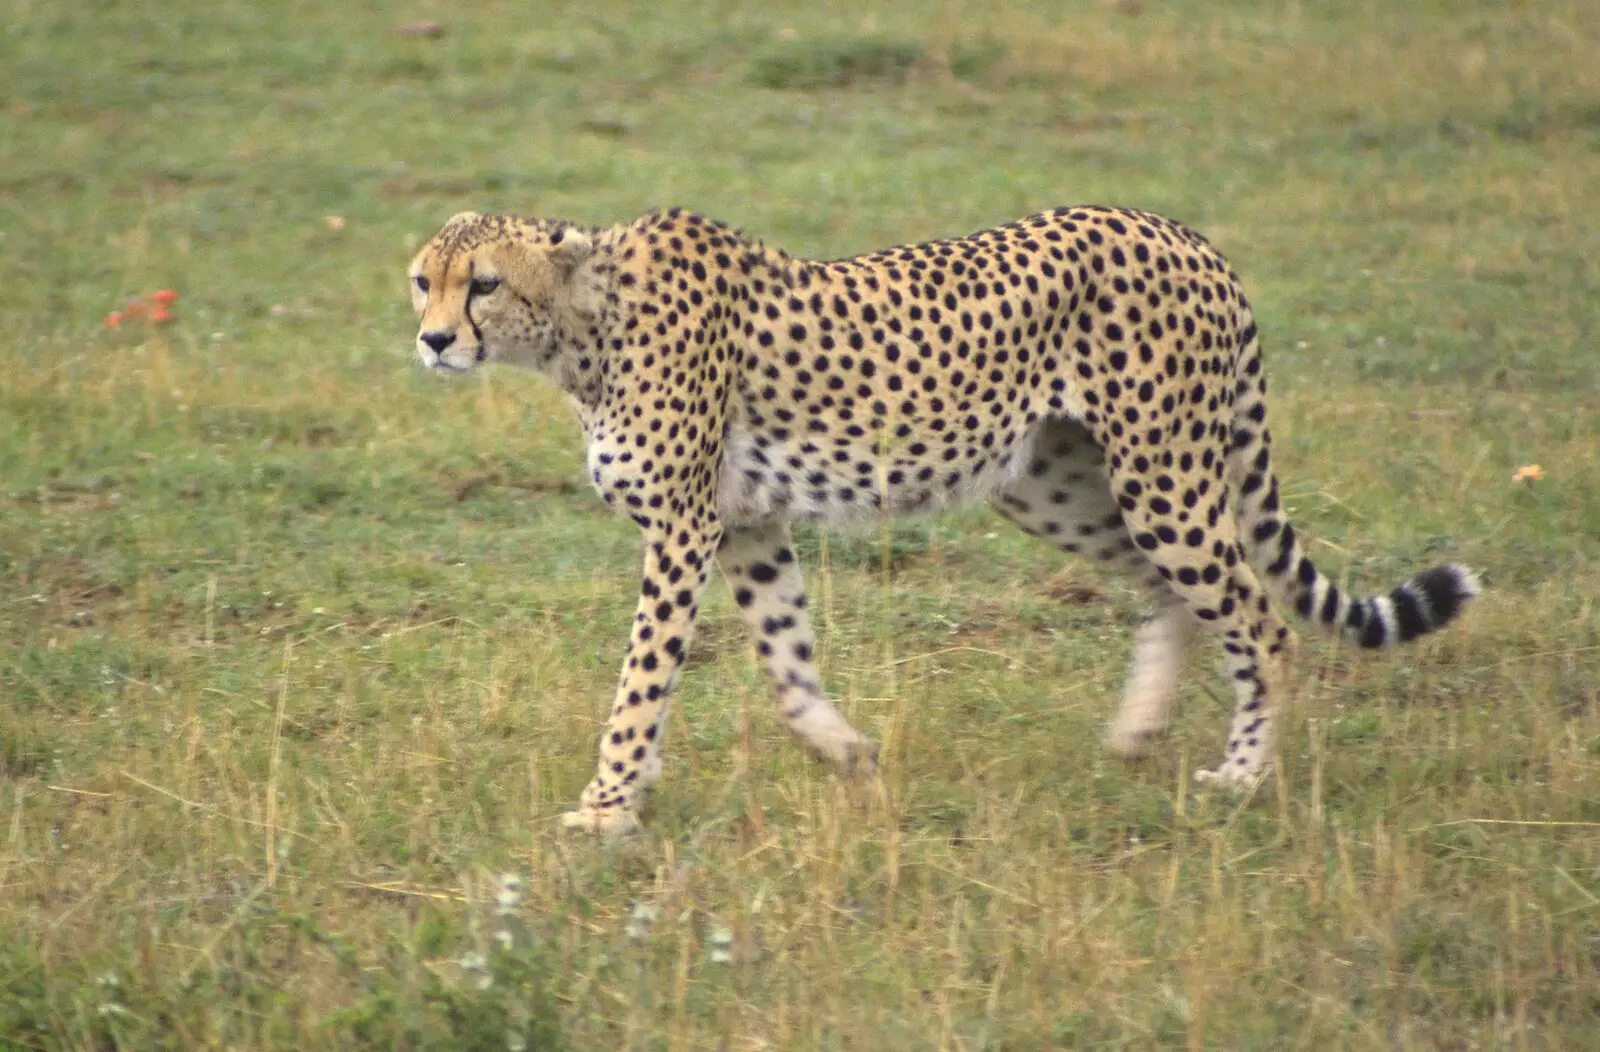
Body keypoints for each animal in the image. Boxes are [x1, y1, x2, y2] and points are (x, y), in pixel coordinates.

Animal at [409, 203, 1472, 824]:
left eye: (484, 283)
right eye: (426, 280)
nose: (431, 341)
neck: (583, 330)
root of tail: (1185, 234)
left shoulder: (684, 530)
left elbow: (642, 679)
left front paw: (606, 806)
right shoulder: (748, 524)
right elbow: (786, 661)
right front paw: (848, 755)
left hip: (1161, 475)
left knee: (1259, 621)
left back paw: (1244, 778)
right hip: (1053, 485)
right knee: (1169, 592)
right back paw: (1136, 731)